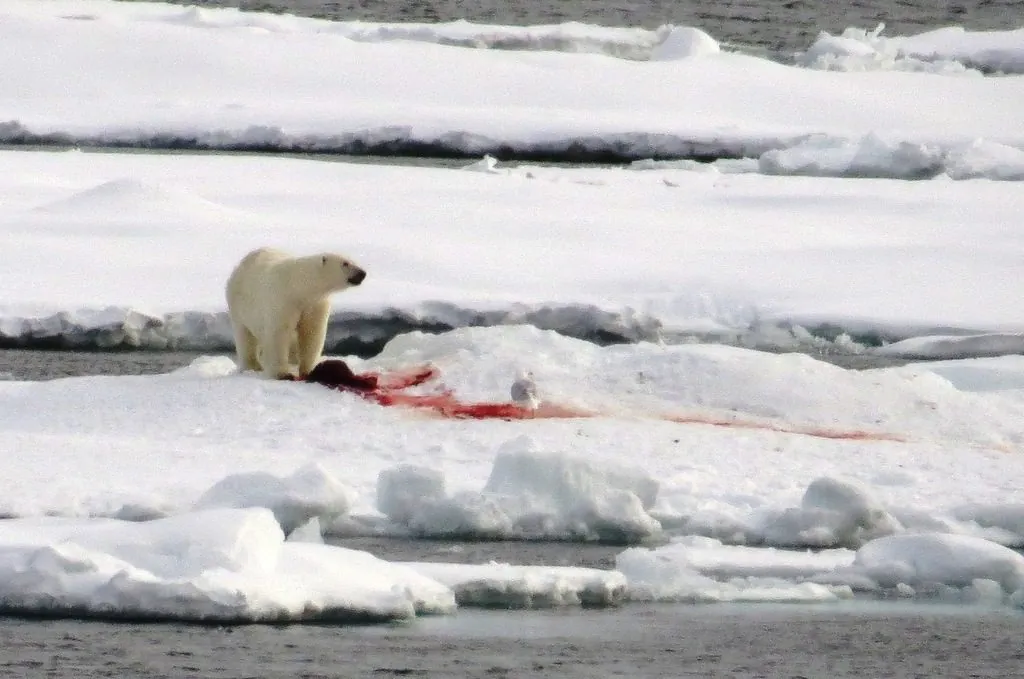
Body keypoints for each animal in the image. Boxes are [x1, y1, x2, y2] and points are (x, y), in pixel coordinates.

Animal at [225, 247, 366, 380]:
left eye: (353, 260)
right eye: (345, 263)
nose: (362, 273)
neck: (299, 286)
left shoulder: (315, 305)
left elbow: (312, 334)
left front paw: (309, 370)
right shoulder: (284, 301)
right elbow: (279, 334)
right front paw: (283, 374)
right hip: (239, 306)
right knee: (245, 336)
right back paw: (253, 366)